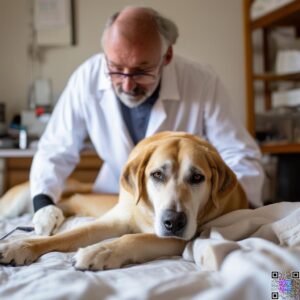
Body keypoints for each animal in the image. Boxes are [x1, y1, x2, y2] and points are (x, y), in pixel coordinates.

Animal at [0, 131, 247, 270]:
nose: (174, 222)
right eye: (157, 174)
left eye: (197, 177)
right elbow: (68, 235)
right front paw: (20, 245)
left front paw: (100, 251)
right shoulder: (110, 222)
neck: (148, 211)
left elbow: (134, 238)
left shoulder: (186, 236)